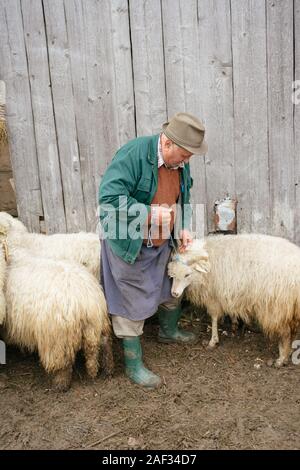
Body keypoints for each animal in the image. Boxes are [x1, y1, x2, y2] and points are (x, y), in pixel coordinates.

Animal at [2, 248, 112, 392]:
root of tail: (86, 300)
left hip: (59, 339)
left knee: (63, 365)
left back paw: (60, 385)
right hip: (100, 325)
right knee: (106, 347)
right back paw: (108, 371)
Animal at [168, 235, 300, 368]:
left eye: (187, 274)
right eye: (172, 275)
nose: (174, 293)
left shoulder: (213, 296)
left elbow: (214, 317)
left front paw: (213, 341)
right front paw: (233, 324)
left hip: (277, 306)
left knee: (285, 332)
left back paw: (281, 358)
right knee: (292, 330)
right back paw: (288, 352)